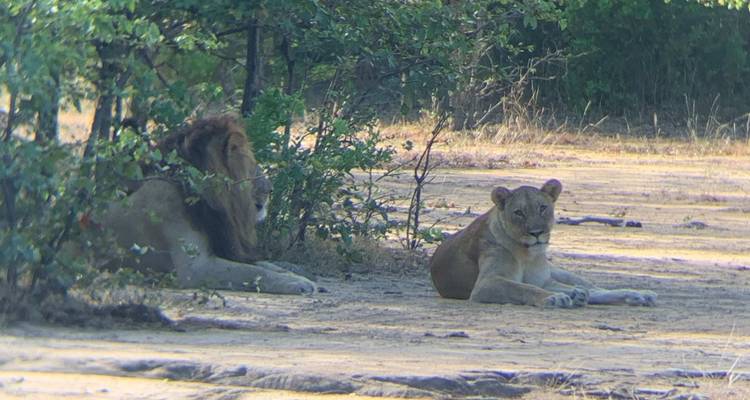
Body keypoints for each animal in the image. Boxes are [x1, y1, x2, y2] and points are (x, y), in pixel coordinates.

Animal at [102, 116, 316, 295]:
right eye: (250, 165)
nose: (271, 189)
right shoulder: (195, 269)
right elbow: (254, 272)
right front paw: (298, 284)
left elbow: (266, 265)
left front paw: (302, 278)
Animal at [429, 179, 656, 308]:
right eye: (519, 212)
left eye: (542, 208)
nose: (537, 233)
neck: (526, 254)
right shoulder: (486, 284)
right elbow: (524, 288)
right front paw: (555, 298)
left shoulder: (543, 279)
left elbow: (530, 286)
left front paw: (563, 296)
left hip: (560, 272)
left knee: (594, 289)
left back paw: (639, 295)